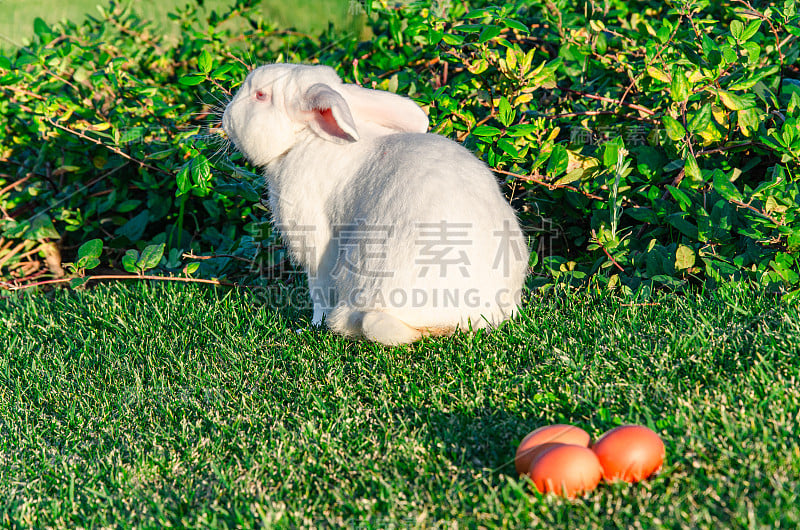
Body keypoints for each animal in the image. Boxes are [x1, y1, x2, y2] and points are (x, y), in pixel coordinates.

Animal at [222, 64, 528, 344]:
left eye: (261, 95)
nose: (225, 118)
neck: (305, 138)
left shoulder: (315, 241)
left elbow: (319, 290)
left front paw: (312, 325)